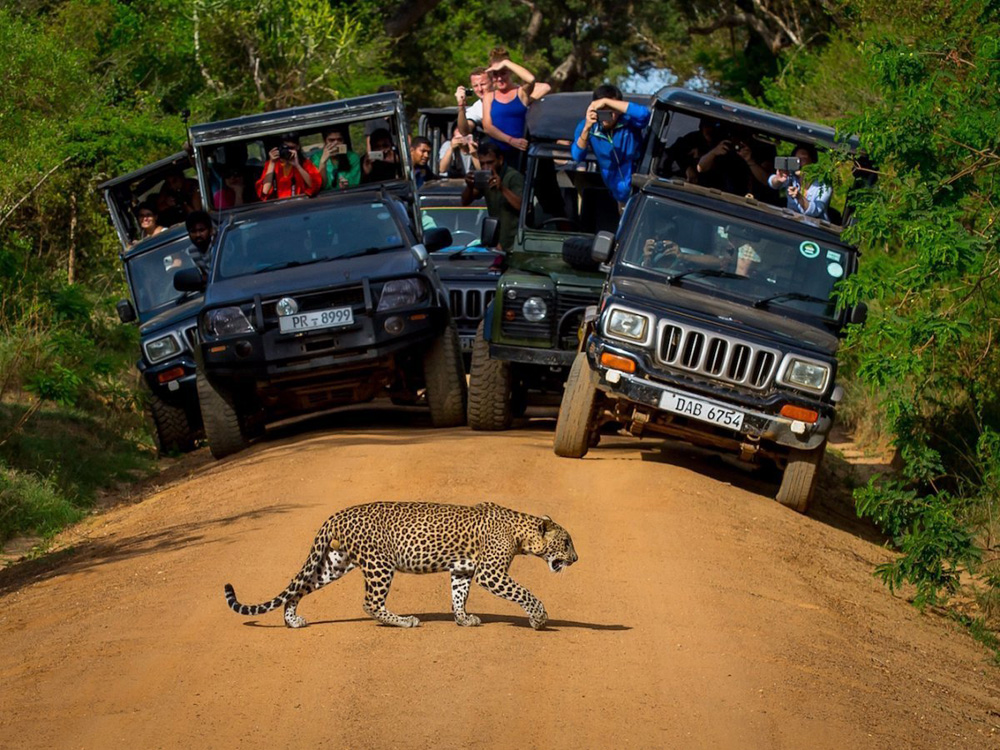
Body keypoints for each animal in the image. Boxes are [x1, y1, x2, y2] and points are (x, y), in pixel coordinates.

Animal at [221, 502, 580, 632]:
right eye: (566, 543)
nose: (576, 559)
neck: (522, 533)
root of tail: (337, 514)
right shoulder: (490, 573)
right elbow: (525, 593)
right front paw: (539, 619)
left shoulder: (463, 570)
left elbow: (458, 595)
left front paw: (463, 619)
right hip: (380, 564)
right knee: (370, 603)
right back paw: (405, 621)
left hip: (336, 562)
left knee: (301, 586)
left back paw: (292, 620)